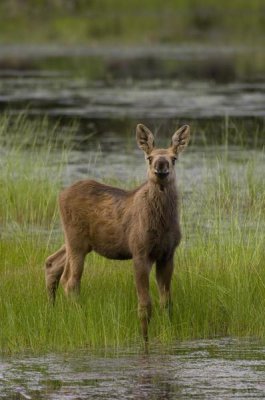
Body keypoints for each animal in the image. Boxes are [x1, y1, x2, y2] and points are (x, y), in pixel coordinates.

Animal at [46, 124, 190, 340]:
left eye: (174, 158)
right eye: (149, 157)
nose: (161, 167)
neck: (163, 223)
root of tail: (60, 194)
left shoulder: (167, 254)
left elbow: (167, 303)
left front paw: (169, 331)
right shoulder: (140, 252)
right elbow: (145, 305)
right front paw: (144, 338)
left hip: (78, 243)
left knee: (52, 263)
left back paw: (53, 310)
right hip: (76, 241)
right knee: (70, 281)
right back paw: (79, 318)